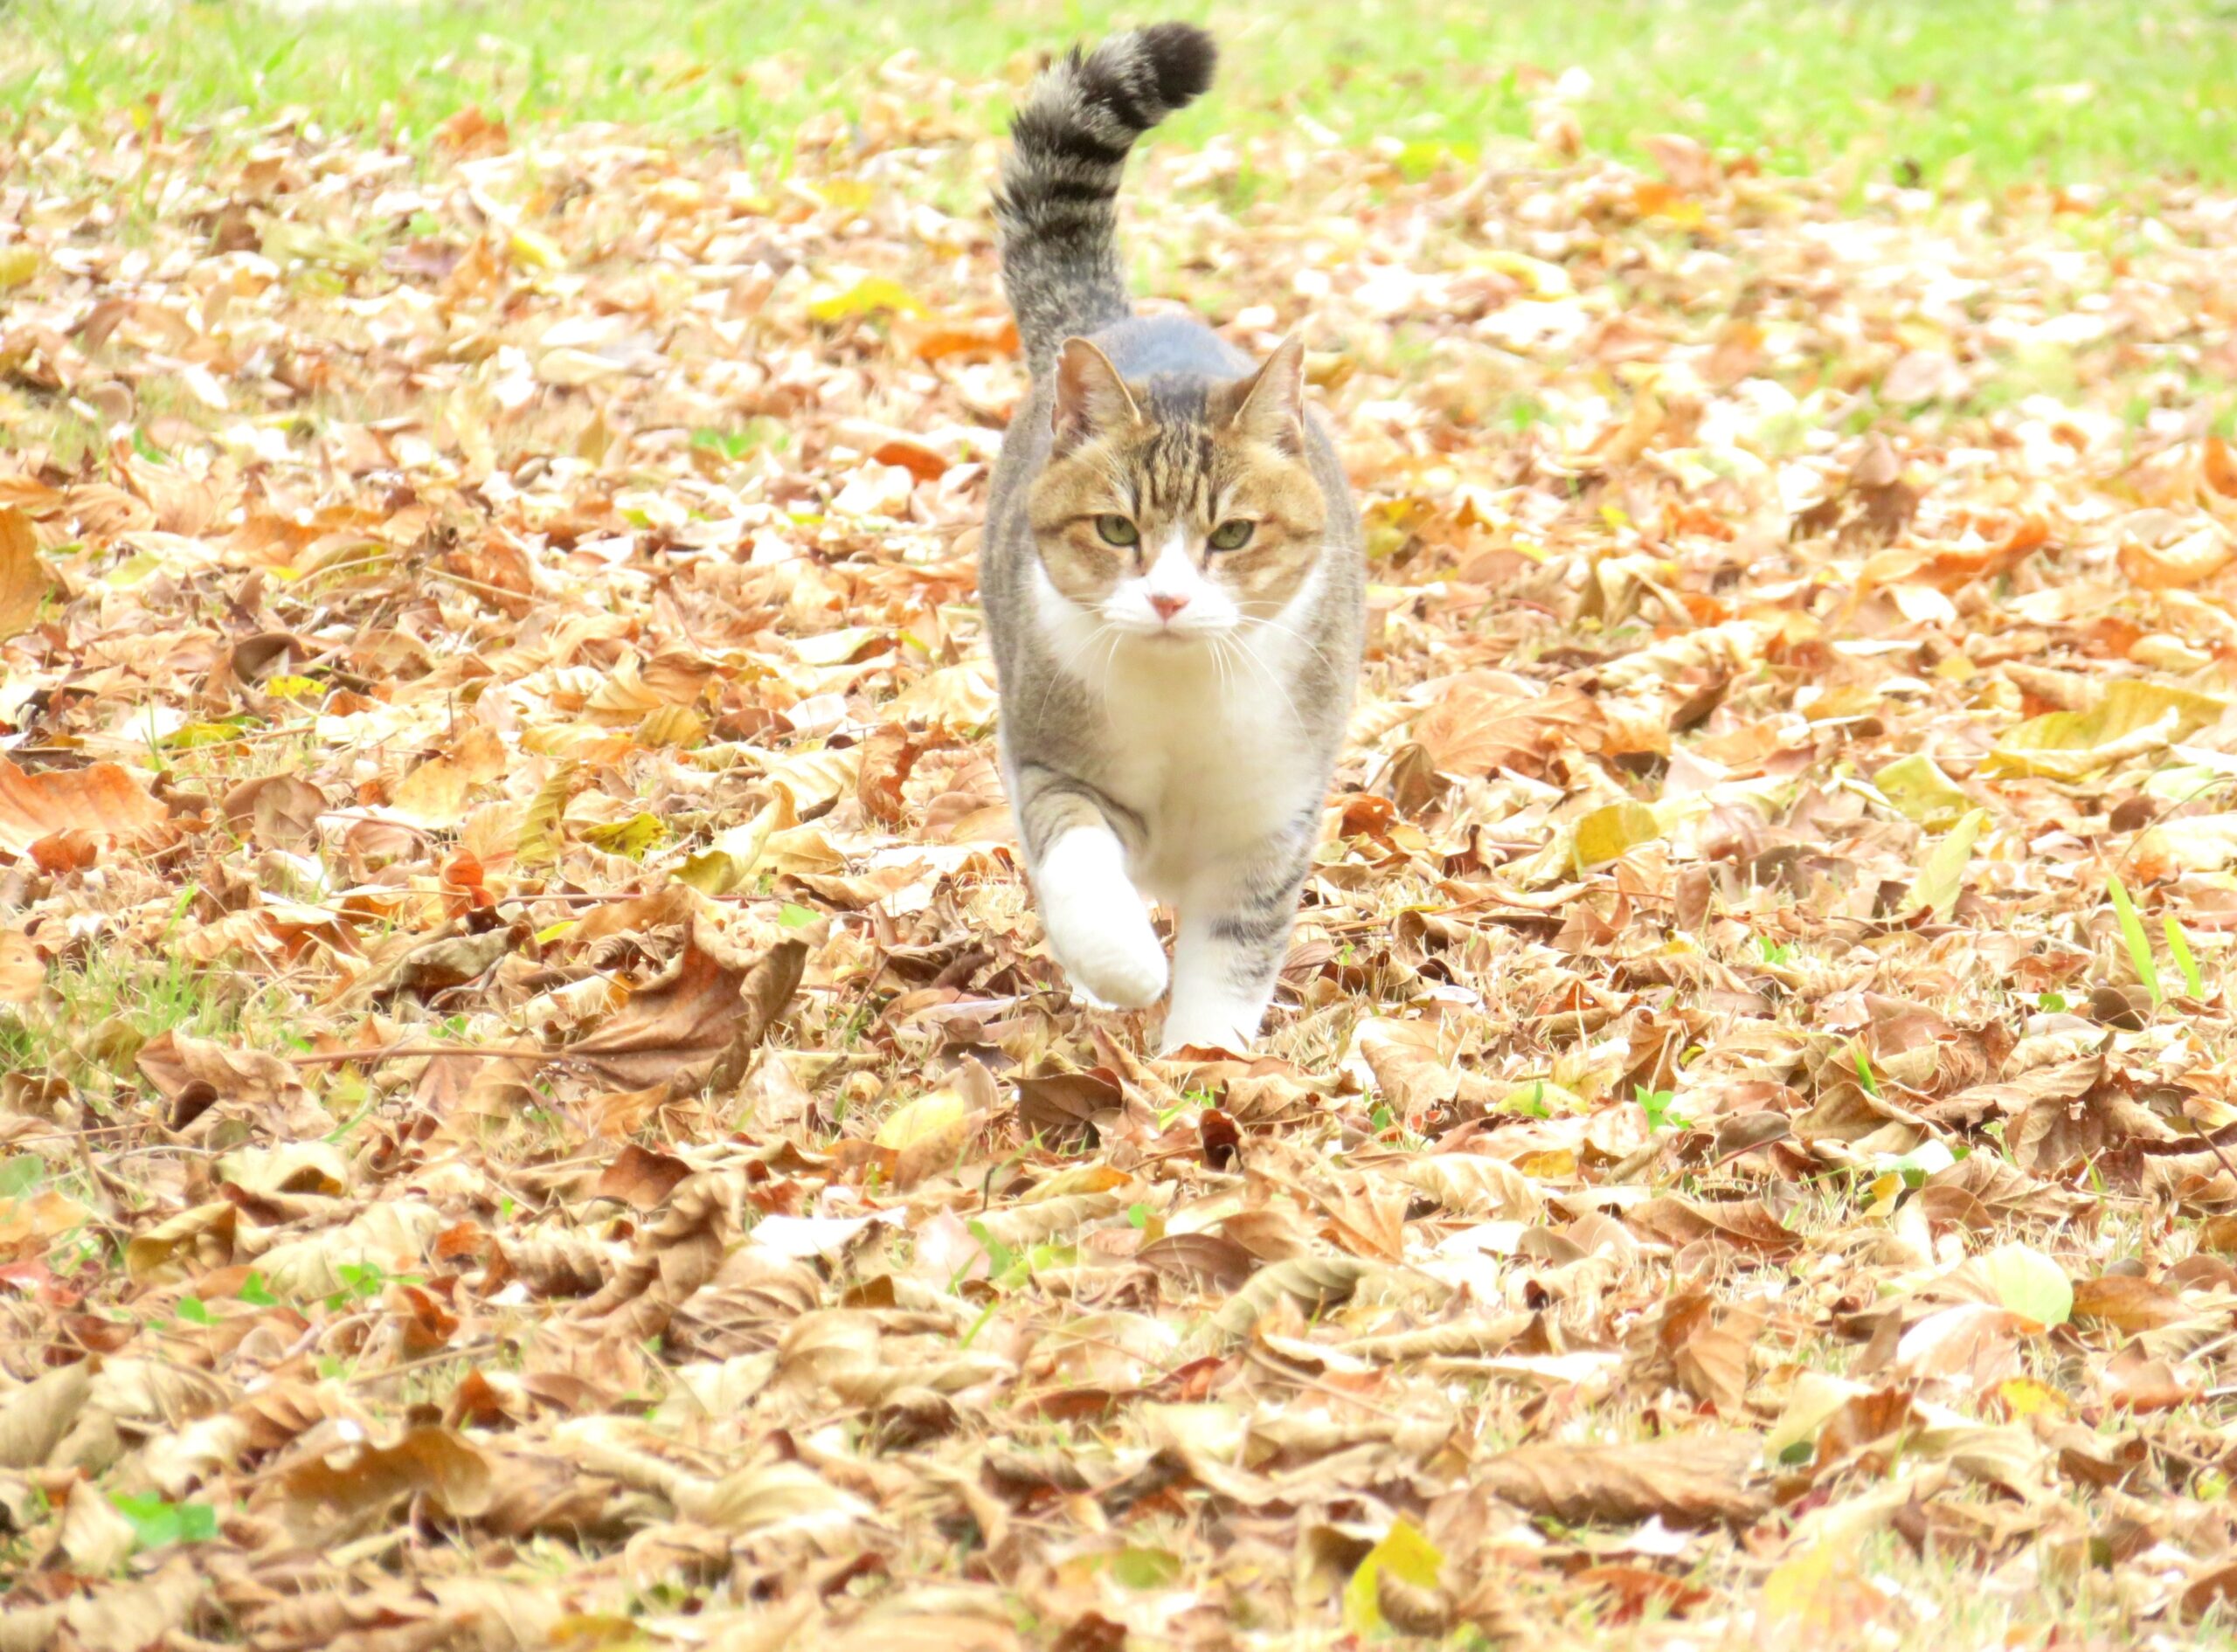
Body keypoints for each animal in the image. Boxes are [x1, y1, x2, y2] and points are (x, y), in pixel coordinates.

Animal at [980, 19, 1360, 1054]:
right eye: (1116, 528)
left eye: (1231, 535)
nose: (1167, 596)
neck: (1185, 699)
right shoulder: (1053, 759)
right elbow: (1077, 863)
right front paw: (1123, 968)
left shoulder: (1272, 820)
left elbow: (1234, 953)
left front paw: (1204, 1060)